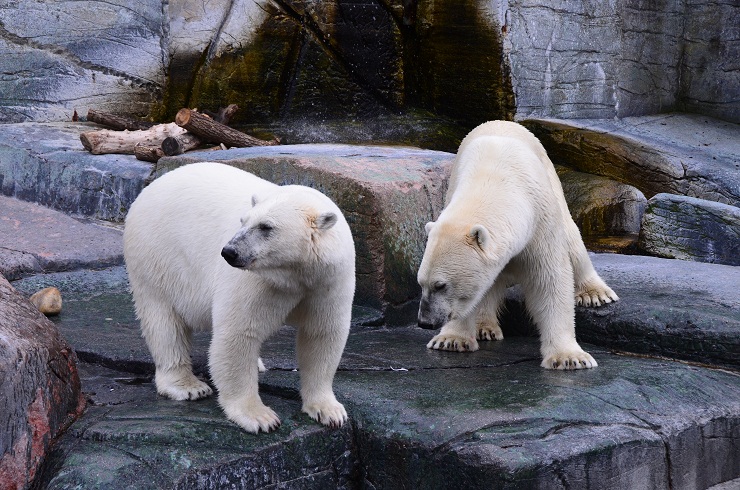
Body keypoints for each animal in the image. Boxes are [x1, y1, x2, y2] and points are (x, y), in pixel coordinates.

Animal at [124, 162, 356, 432]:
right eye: (243, 221)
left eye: (266, 227)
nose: (229, 252)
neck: (295, 274)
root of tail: (150, 187)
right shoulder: (259, 281)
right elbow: (239, 334)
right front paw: (260, 417)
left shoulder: (327, 281)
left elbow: (321, 335)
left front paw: (329, 411)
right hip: (156, 256)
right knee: (163, 320)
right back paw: (188, 386)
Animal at [416, 120, 620, 370]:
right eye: (420, 283)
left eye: (441, 285)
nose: (425, 322)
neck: (493, 180)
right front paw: (451, 339)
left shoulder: (540, 219)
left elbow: (550, 280)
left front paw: (569, 358)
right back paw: (485, 327)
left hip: (553, 183)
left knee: (572, 238)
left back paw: (596, 293)